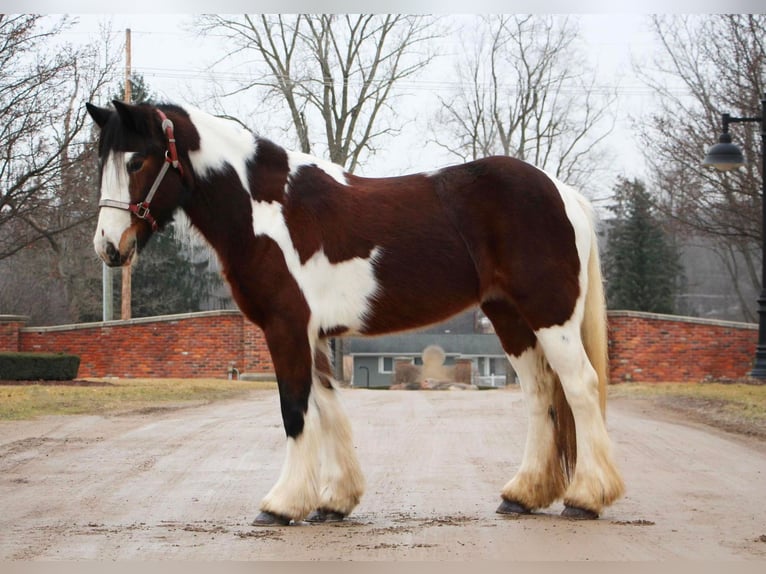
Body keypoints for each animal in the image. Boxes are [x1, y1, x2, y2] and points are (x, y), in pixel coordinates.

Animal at [85, 100, 624, 528]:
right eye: (101, 163)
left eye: (137, 159)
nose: (109, 247)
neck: (266, 209)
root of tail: (563, 194)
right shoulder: (313, 335)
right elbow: (327, 407)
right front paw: (333, 501)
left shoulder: (286, 327)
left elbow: (295, 410)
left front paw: (281, 505)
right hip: (510, 317)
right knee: (540, 394)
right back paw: (522, 495)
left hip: (549, 314)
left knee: (580, 388)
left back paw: (585, 498)